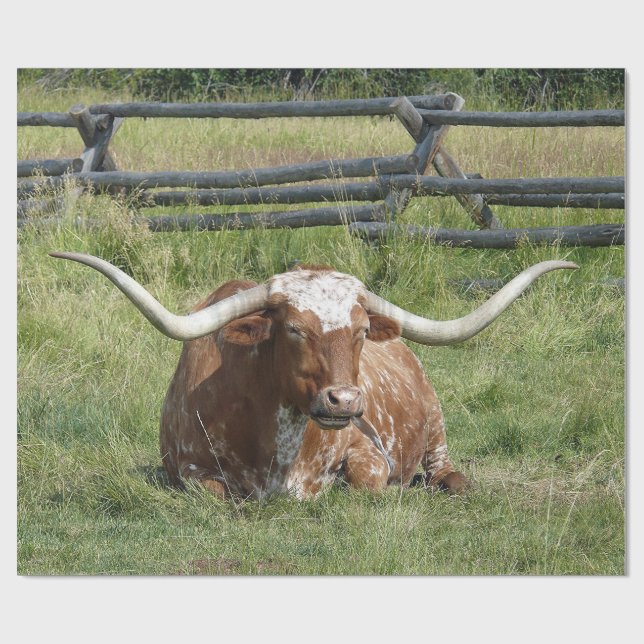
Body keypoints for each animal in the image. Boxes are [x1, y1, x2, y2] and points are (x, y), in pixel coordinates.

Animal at [50, 252, 576, 498]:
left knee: (444, 468)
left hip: (436, 423)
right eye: (295, 329)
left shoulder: (368, 451)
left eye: (361, 330)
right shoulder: (185, 471)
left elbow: (366, 480)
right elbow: (215, 492)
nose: (345, 401)